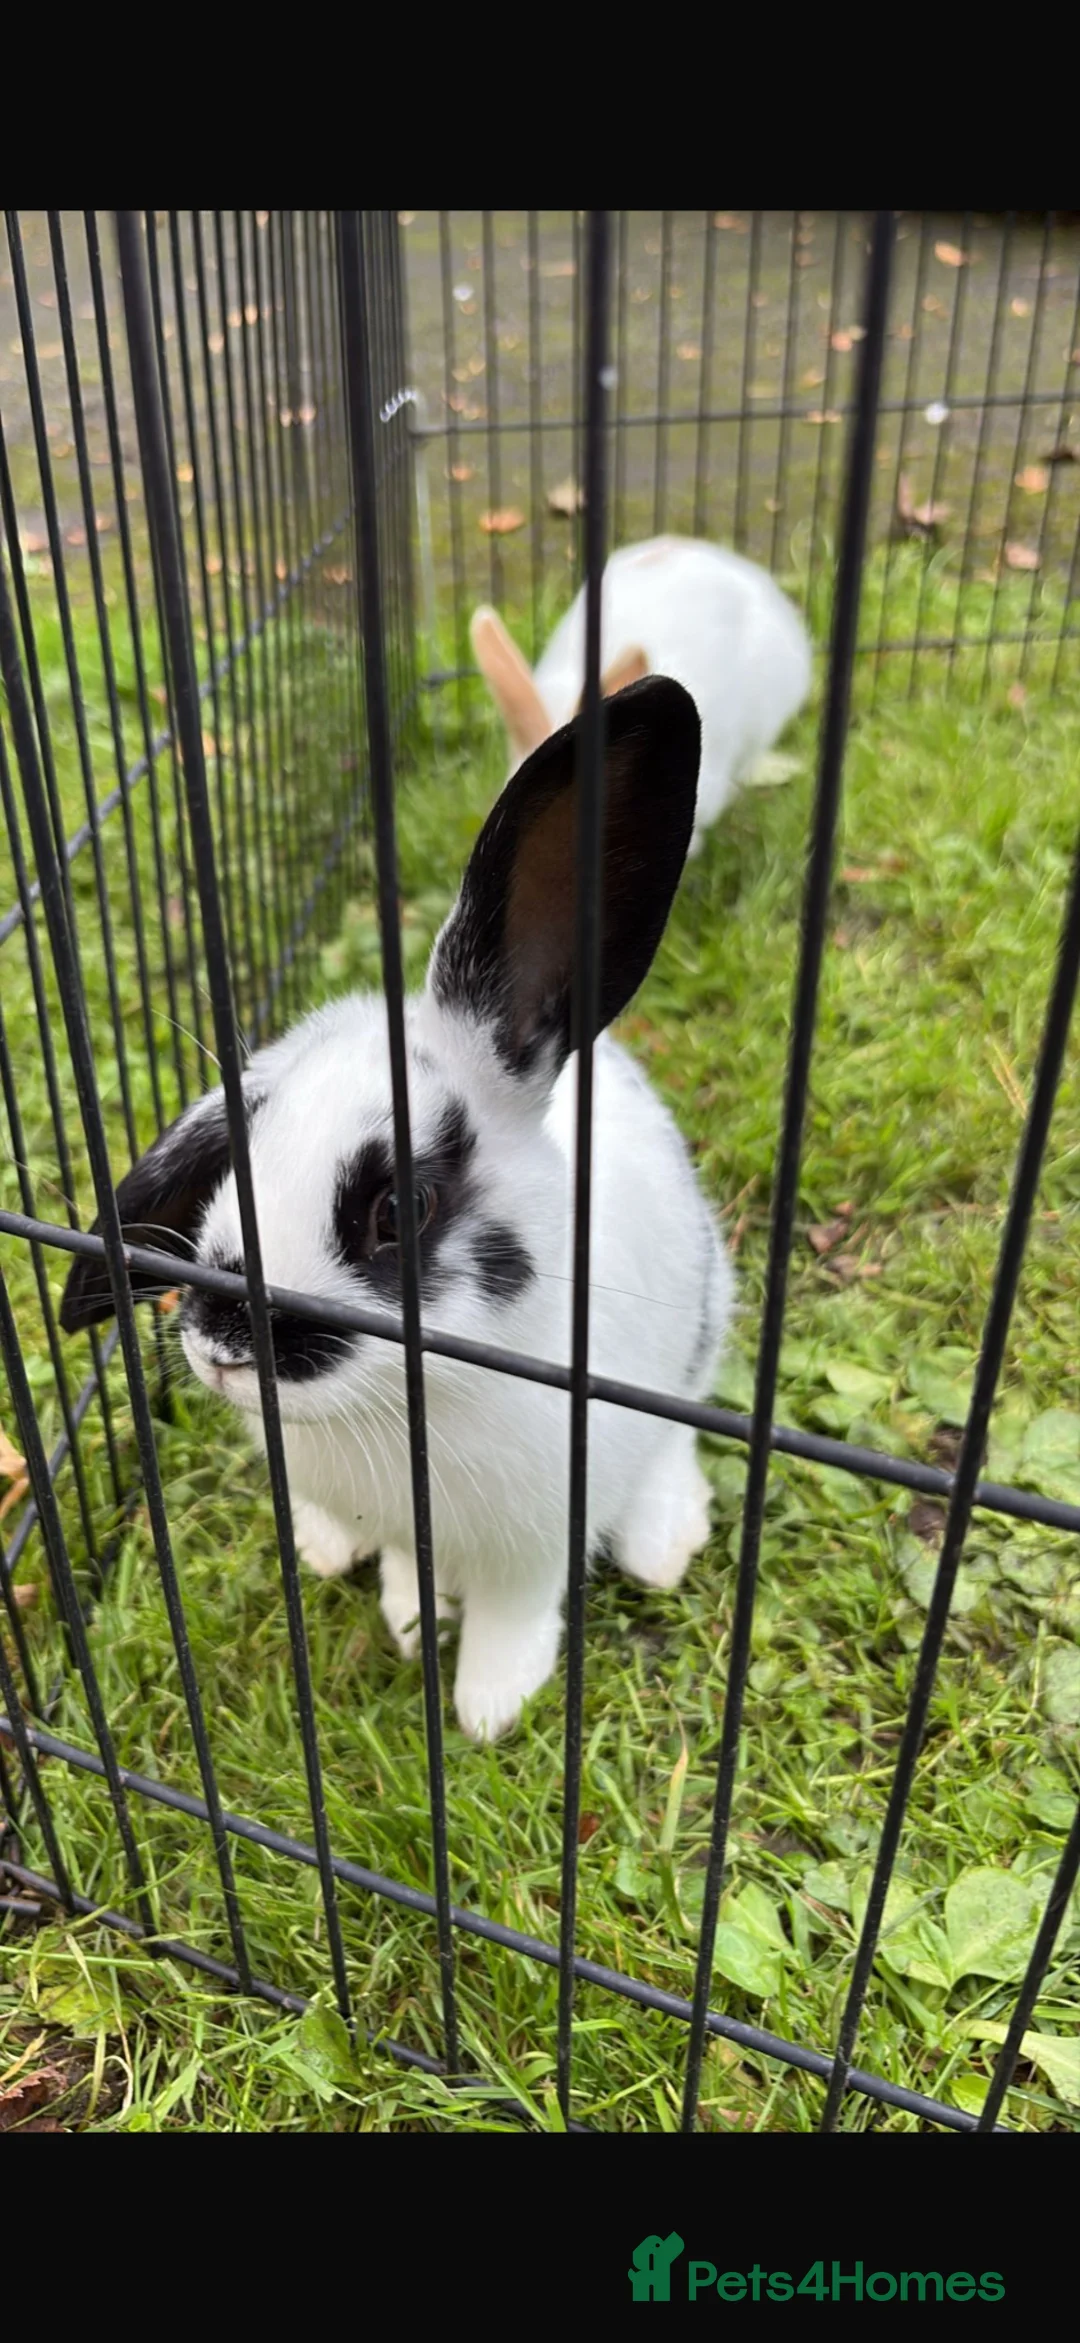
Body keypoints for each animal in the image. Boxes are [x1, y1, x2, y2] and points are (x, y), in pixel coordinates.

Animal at [60, 677, 734, 1744]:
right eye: (239, 1153)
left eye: (401, 1207)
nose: (217, 1344)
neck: (405, 1406)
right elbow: (406, 1571)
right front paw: (413, 1620)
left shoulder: (539, 1537)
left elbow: (515, 1612)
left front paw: (490, 1704)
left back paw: (663, 1540)